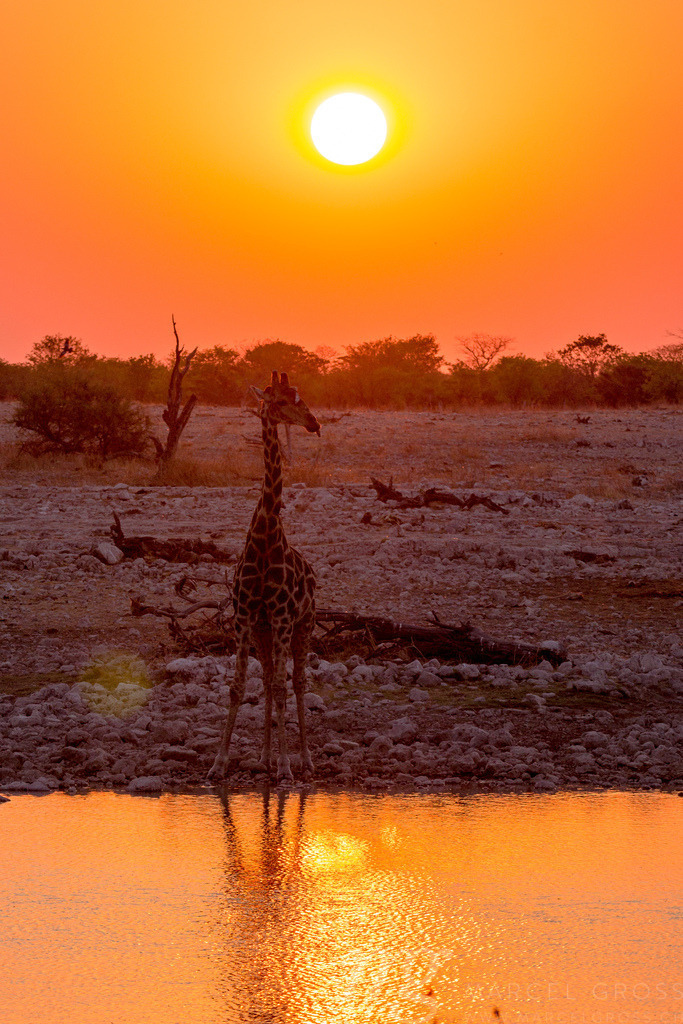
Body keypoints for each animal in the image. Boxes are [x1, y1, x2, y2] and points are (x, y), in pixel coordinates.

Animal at [209, 371, 321, 785]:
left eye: (300, 397)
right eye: (282, 401)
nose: (314, 423)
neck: (263, 538)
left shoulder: (284, 617)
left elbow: (282, 686)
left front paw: (287, 767)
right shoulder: (245, 618)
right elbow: (239, 686)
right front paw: (219, 763)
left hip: (304, 624)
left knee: (297, 682)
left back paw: (303, 761)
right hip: (265, 630)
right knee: (272, 680)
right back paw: (264, 759)